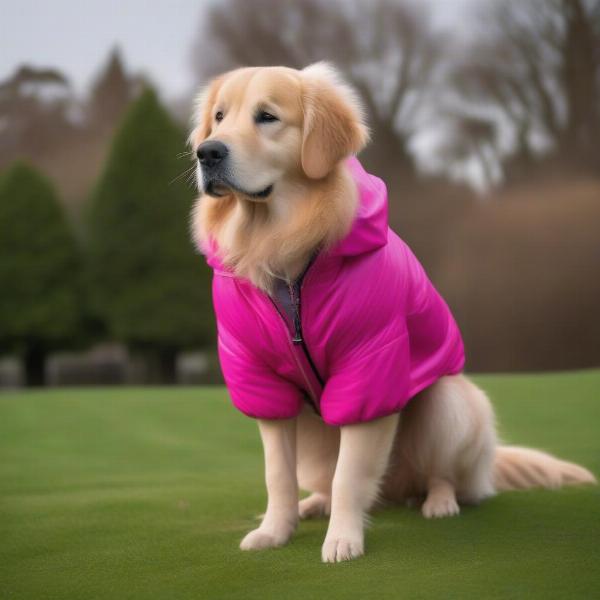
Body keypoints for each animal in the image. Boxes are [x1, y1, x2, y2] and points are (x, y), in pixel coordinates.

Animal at [189, 64, 596, 564]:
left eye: (267, 116)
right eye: (219, 117)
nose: (207, 152)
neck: (283, 252)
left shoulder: (371, 371)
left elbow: (349, 475)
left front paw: (343, 540)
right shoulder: (263, 384)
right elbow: (278, 475)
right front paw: (275, 531)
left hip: (449, 403)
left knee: (440, 476)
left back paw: (439, 502)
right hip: (315, 435)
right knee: (330, 481)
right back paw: (315, 503)